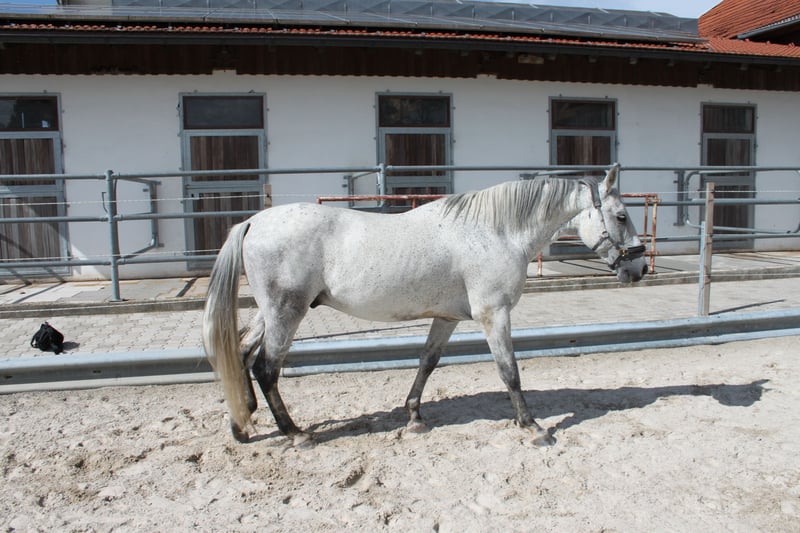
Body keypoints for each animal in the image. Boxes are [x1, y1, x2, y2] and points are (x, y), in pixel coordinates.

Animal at [203, 164, 648, 447]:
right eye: (621, 216)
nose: (639, 268)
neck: (496, 231)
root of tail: (252, 222)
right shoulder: (494, 315)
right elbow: (510, 372)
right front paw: (532, 426)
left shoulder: (447, 318)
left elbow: (427, 362)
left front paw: (415, 417)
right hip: (286, 312)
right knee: (266, 367)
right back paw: (295, 434)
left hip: (271, 312)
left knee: (242, 352)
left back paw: (242, 423)